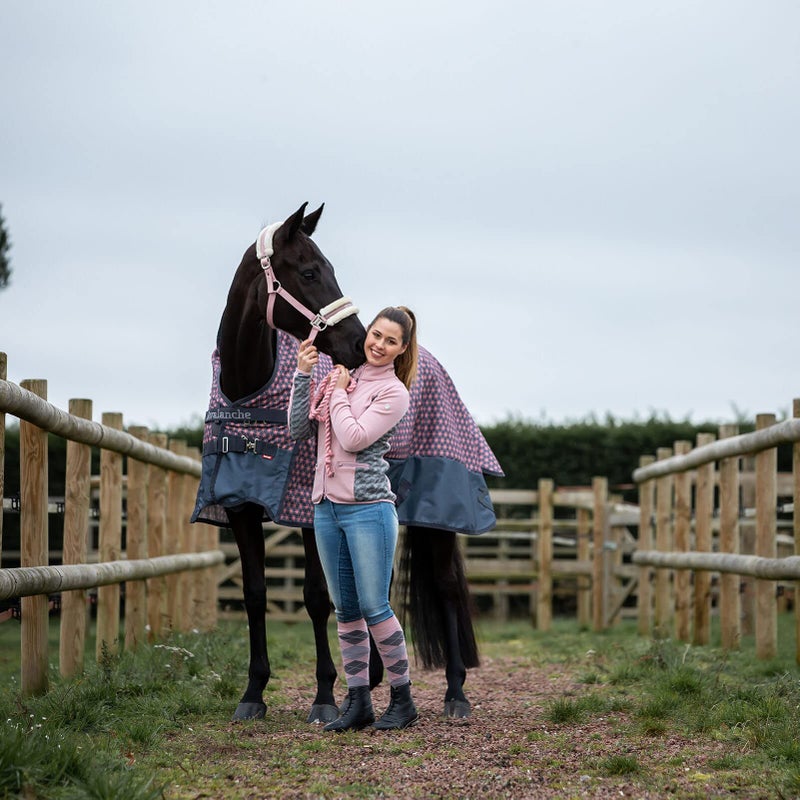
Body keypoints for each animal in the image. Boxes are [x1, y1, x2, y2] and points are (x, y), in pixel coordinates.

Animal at [192, 203, 503, 722]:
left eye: (330, 268)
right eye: (309, 271)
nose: (358, 344)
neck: (250, 394)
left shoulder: (304, 511)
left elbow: (317, 598)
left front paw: (323, 696)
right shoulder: (239, 507)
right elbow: (255, 593)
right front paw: (253, 693)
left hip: (437, 511)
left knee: (445, 587)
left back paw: (456, 692)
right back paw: (376, 677)